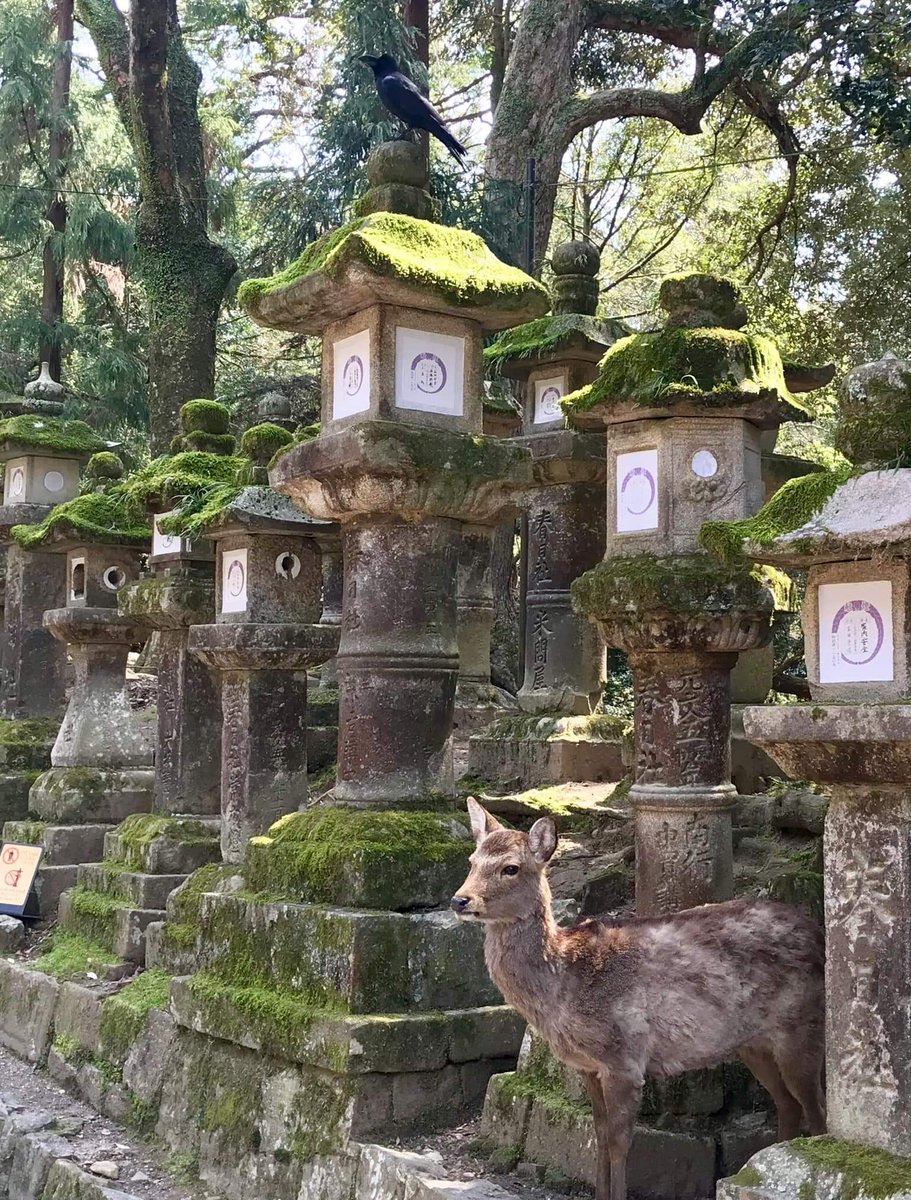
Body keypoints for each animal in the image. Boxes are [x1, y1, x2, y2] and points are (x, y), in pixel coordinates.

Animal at [451, 798, 826, 1200]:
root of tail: (820, 934)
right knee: (788, 1105)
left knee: (817, 1113)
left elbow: (619, 1144)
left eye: (511, 868)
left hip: (802, 1028)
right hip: (754, 1044)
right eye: (472, 861)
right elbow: (598, 1137)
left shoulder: (624, 1058)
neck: (563, 986)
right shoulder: (588, 1066)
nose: (460, 900)